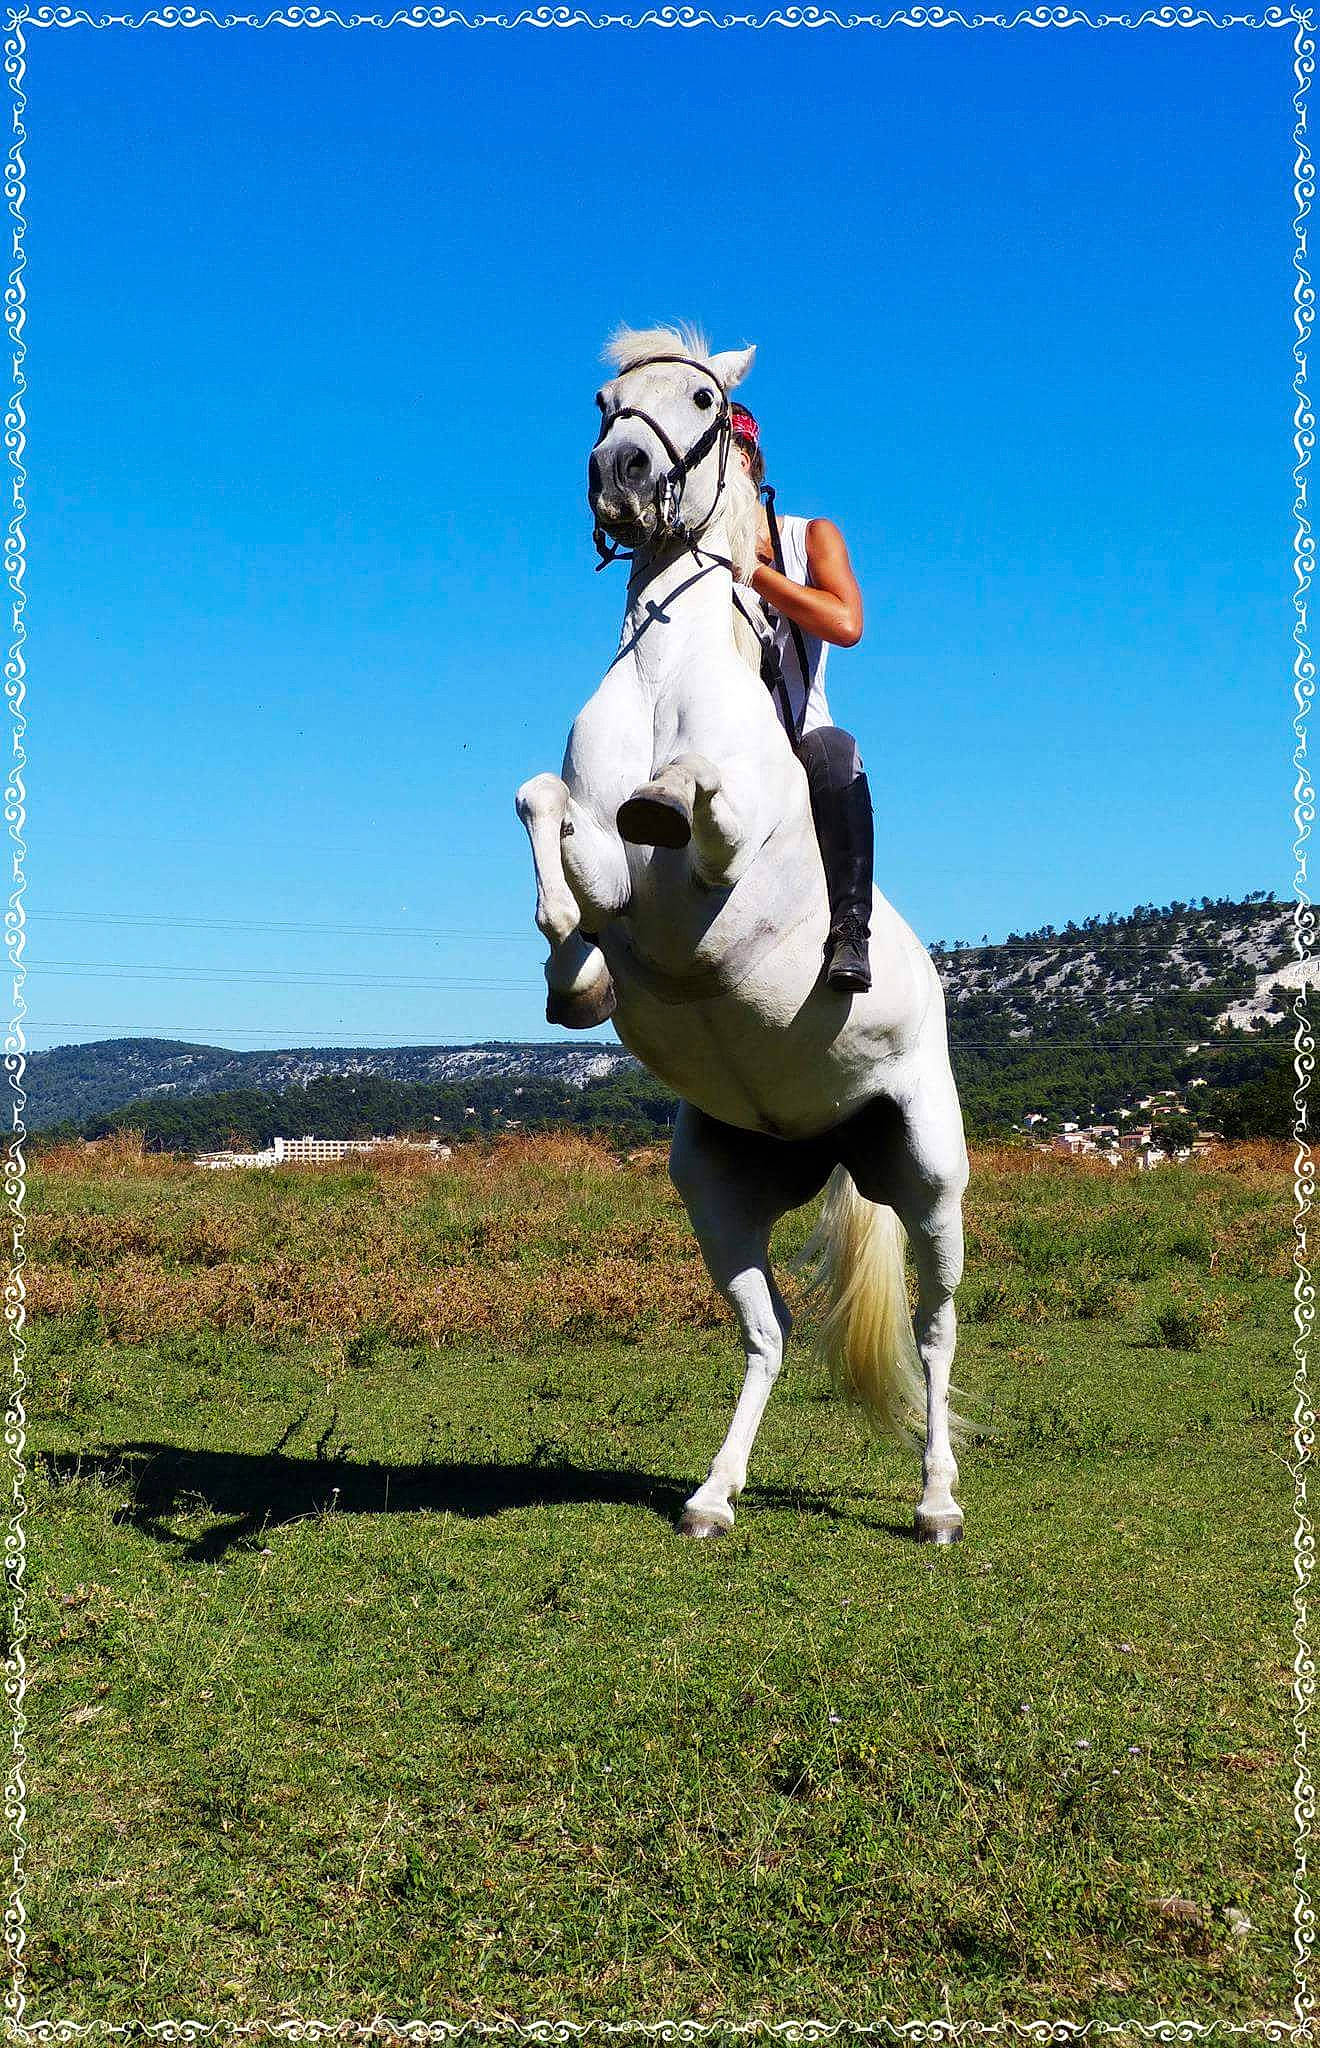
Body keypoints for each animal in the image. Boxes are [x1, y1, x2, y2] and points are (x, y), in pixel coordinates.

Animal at [515, 325, 969, 1543]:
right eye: (605, 399)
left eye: (705, 400)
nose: (619, 475)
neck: (669, 667)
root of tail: (826, 1132)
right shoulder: (596, 845)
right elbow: (548, 808)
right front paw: (571, 969)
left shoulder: (719, 870)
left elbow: (694, 802)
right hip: (718, 1190)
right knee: (767, 1333)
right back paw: (713, 1497)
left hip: (930, 1173)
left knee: (935, 1330)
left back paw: (938, 1504)